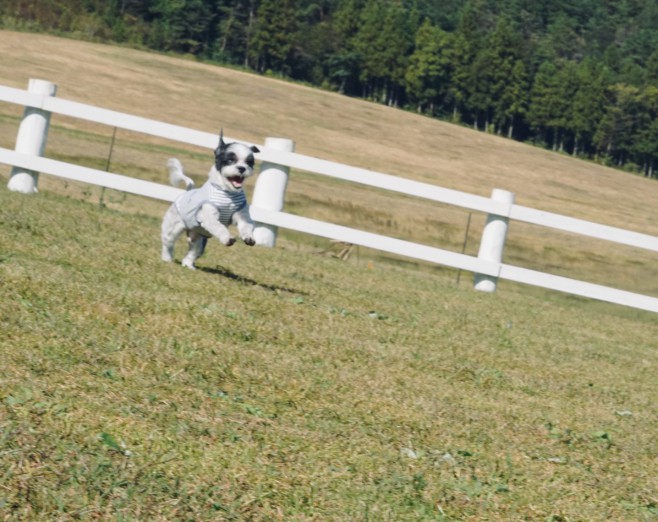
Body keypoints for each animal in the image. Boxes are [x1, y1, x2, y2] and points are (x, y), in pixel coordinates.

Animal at [160, 130, 260, 268]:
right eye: (230, 160)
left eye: (249, 162)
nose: (242, 168)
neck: (227, 192)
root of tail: (188, 190)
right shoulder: (208, 216)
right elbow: (218, 226)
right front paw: (228, 238)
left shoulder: (241, 214)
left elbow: (246, 225)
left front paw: (249, 237)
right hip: (173, 227)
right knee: (168, 242)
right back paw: (167, 258)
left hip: (200, 239)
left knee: (194, 251)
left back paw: (188, 265)